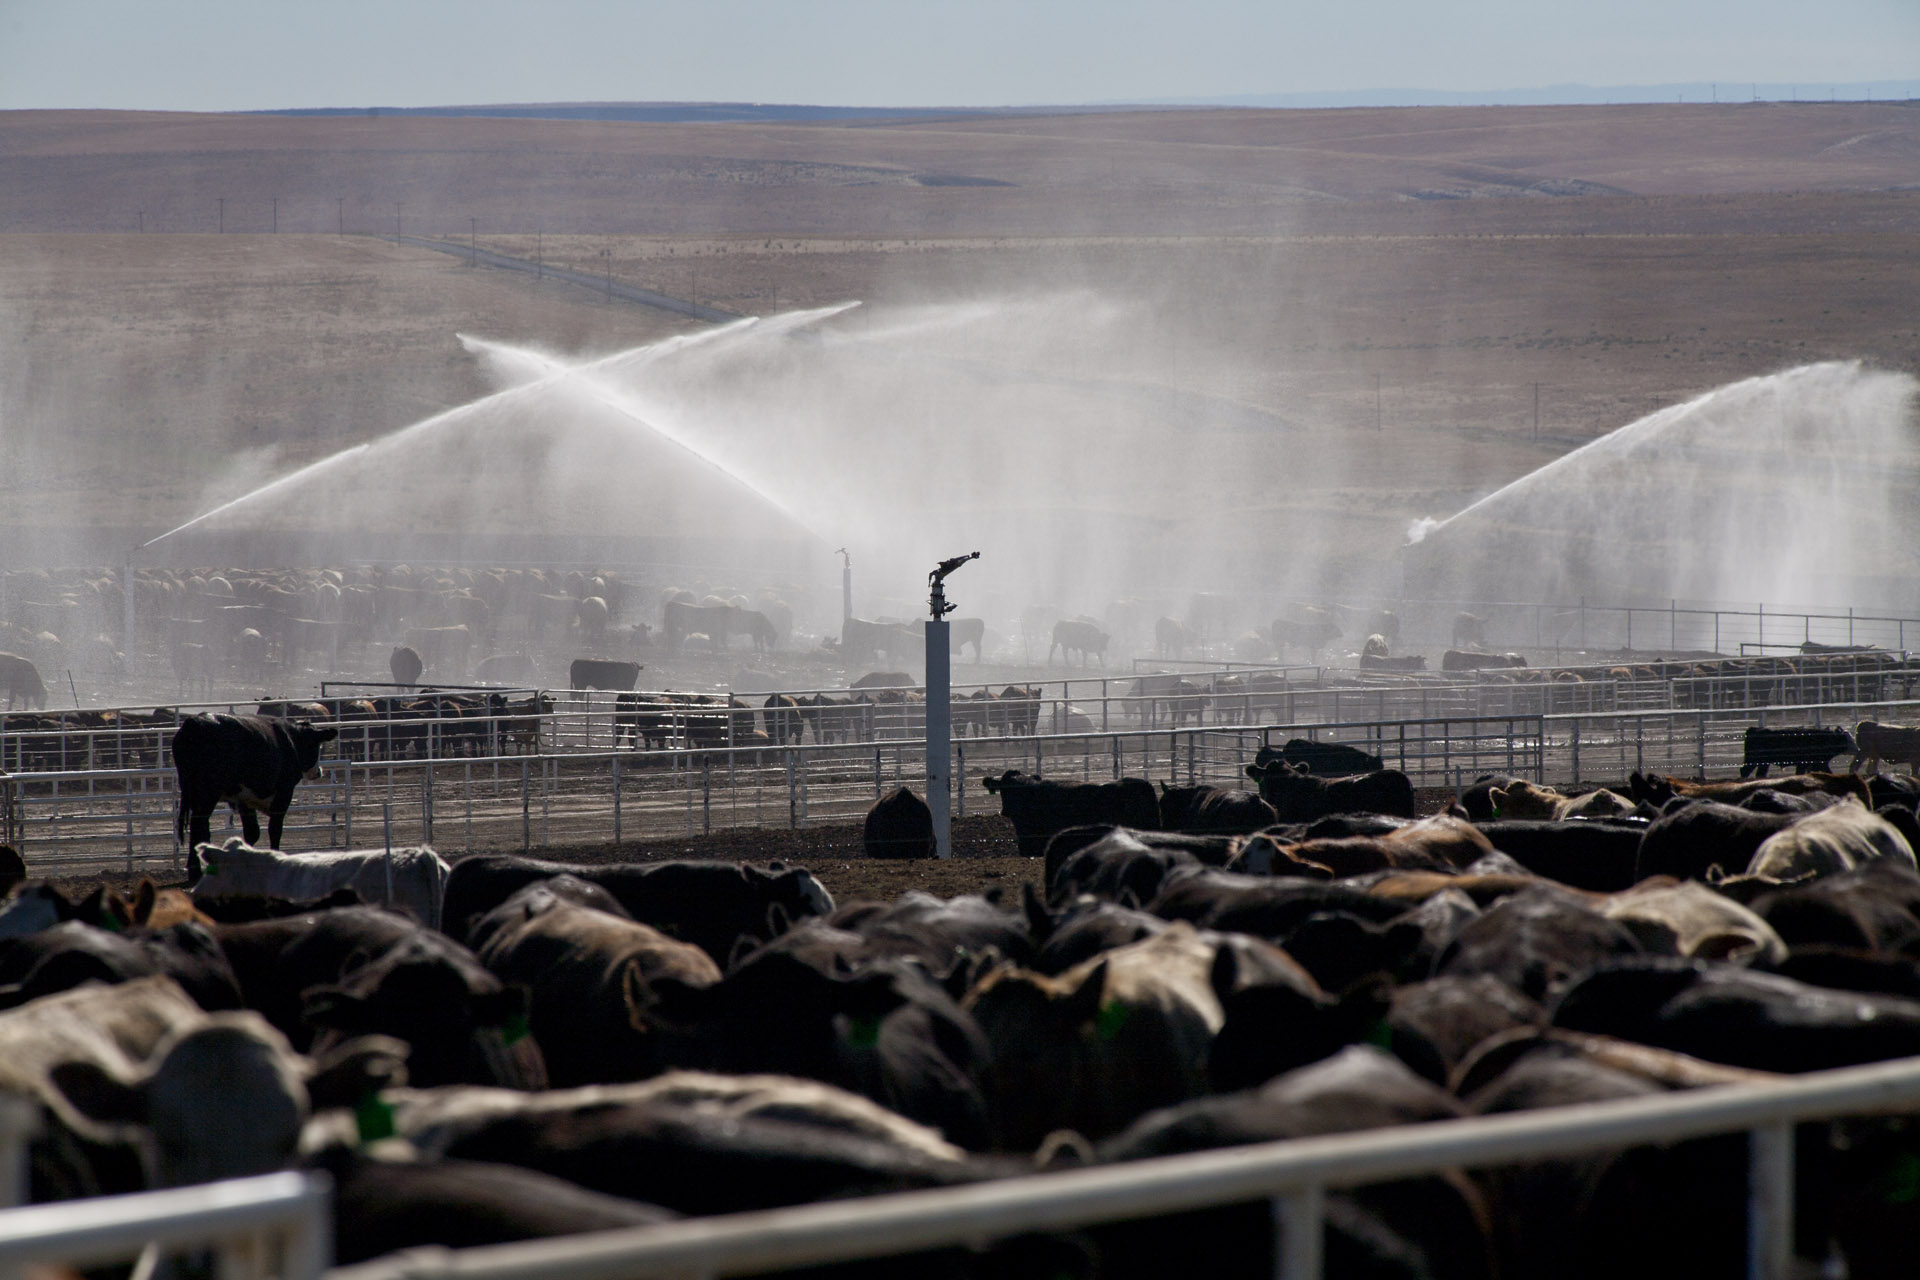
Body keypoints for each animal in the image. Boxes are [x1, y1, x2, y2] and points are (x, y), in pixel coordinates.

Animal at [170, 710, 339, 871]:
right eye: (317, 745)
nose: (318, 771)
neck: (292, 740)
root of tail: (195, 722)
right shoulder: (284, 792)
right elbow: (275, 829)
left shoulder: (244, 798)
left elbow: (252, 832)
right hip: (208, 793)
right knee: (199, 826)